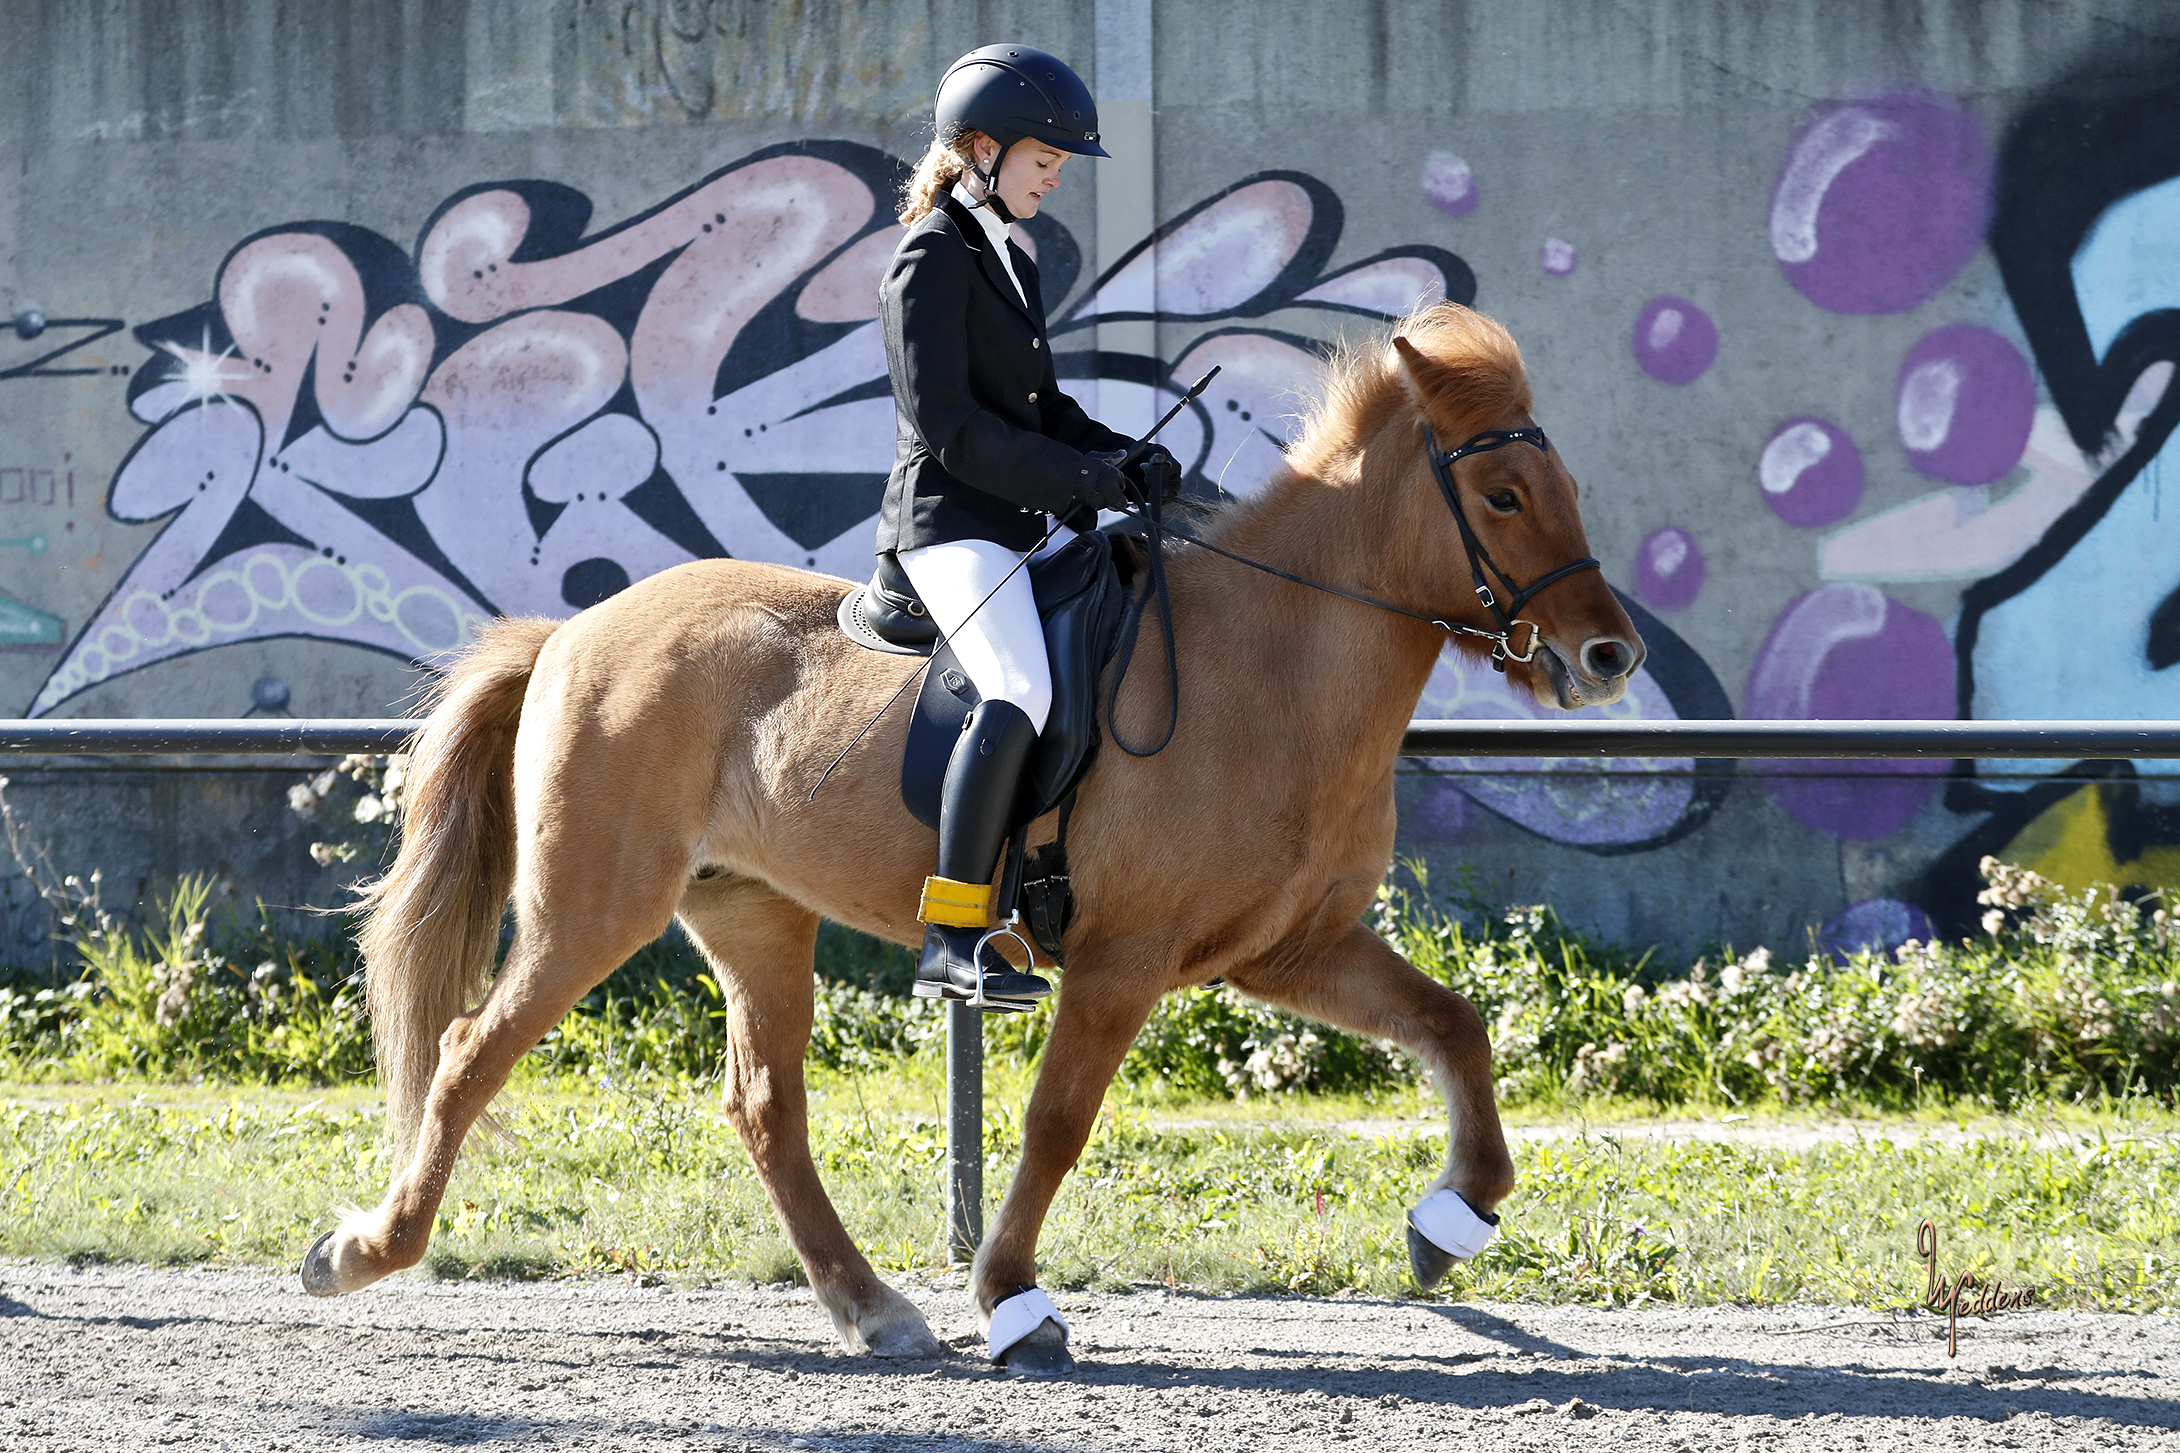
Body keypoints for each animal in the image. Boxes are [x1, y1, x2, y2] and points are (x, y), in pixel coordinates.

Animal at [298, 300, 1639, 1368]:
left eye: (1568, 489)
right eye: (1501, 495)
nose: (1605, 656)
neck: (1272, 664)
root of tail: (573, 631)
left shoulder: (1286, 947)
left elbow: (1452, 1025)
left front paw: (1454, 1215)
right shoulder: (1121, 961)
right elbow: (1054, 1124)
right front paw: (1011, 1299)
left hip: (750, 912)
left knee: (764, 1107)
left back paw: (873, 1310)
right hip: (593, 906)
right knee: (469, 1053)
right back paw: (361, 1250)